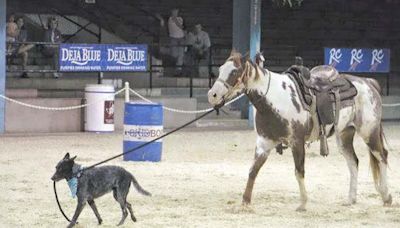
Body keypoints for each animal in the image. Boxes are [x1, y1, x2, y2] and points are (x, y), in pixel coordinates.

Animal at [208, 50, 392, 211]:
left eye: (234, 72)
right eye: (220, 69)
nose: (212, 95)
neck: (274, 98)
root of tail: (368, 83)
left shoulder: (297, 142)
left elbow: (299, 171)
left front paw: (303, 203)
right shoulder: (263, 143)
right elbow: (253, 171)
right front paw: (245, 202)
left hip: (369, 132)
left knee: (382, 156)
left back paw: (386, 197)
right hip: (345, 135)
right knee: (353, 162)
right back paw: (350, 199)